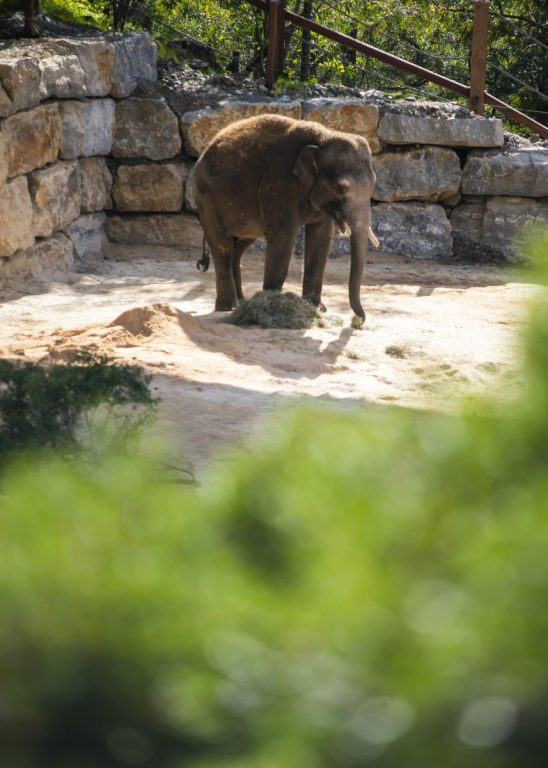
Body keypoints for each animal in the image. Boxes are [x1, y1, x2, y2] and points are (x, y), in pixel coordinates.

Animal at [192, 114, 378, 322]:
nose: (360, 321)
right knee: (222, 244)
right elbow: (283, 236)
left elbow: (321, 238)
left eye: (374, 184)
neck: (324, 136)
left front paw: (315, 308)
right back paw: (227, 307)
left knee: (240, 244)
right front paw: (273, 304)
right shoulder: (279, 183)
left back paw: (240, 302)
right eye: (341, 187)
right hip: (205, 197)